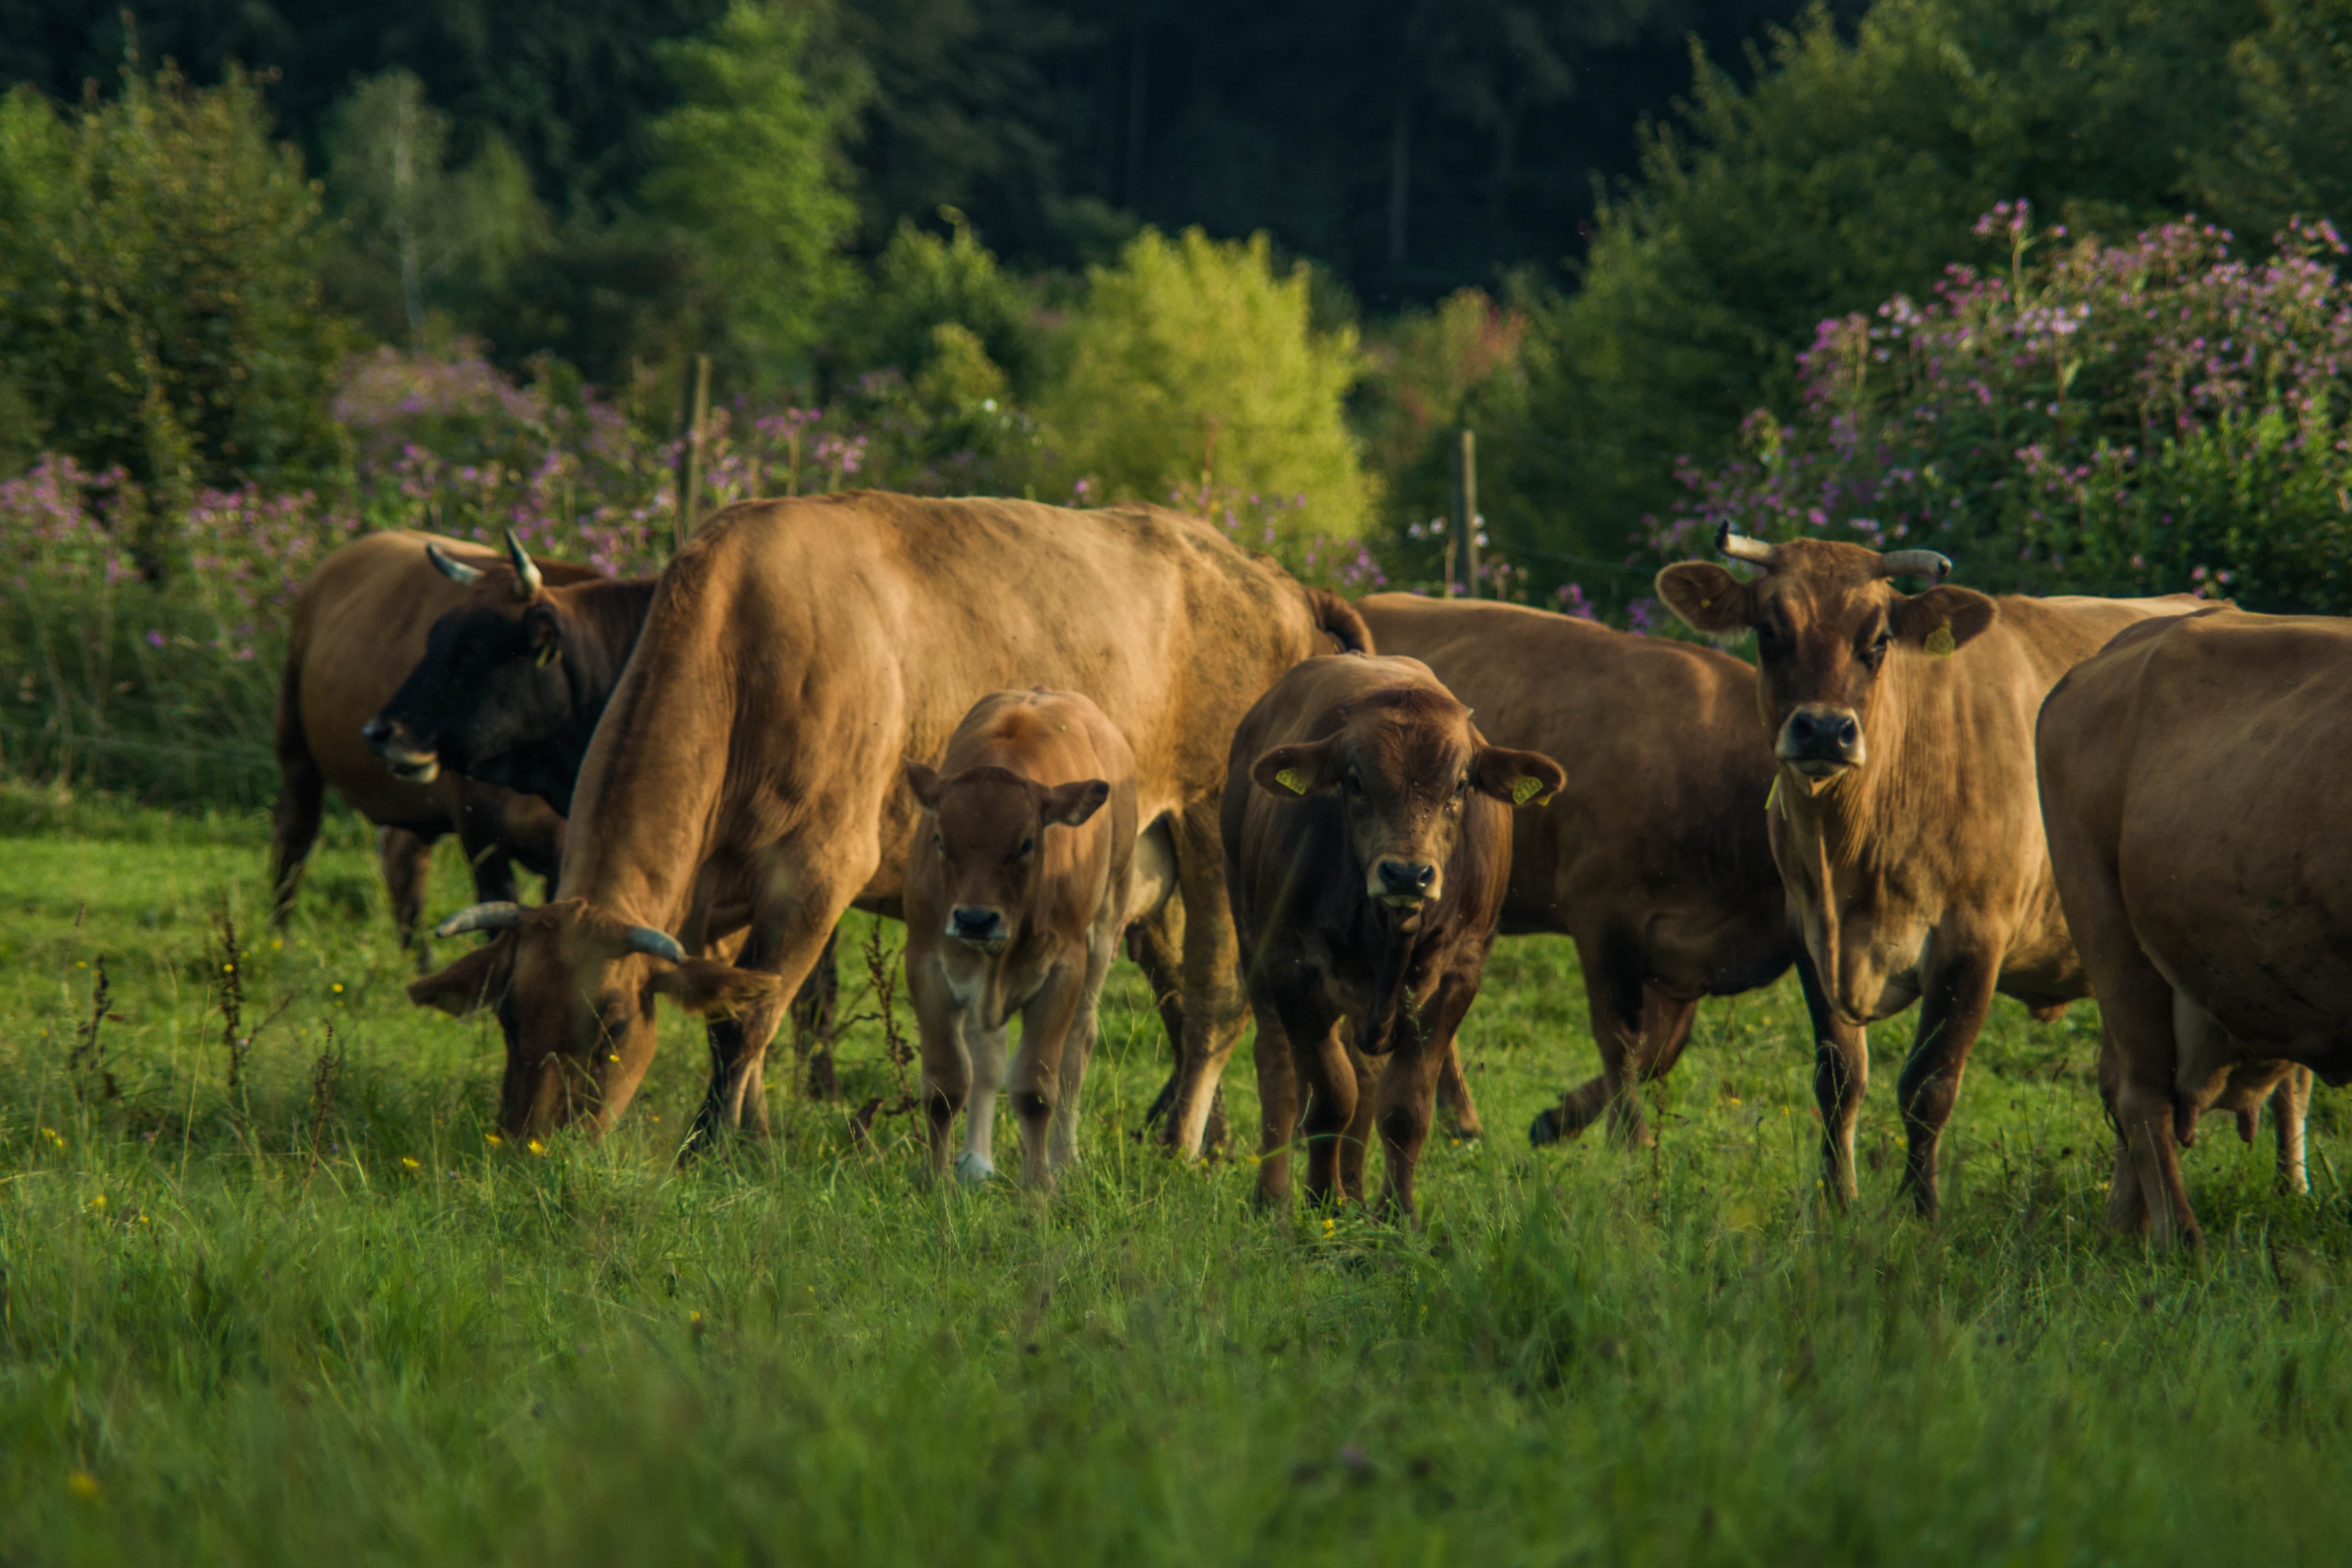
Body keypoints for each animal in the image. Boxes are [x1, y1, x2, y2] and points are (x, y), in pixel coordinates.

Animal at [270, 530, 595, 950]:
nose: (384, 729)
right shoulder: (479, 832)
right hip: (295, 742)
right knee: (294, 832)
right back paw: (280, 940)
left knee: (403, 861)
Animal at [904, 689, 1140, 1188]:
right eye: (940, 840)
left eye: (1026, 844)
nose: (975, 919)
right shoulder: (926, 965)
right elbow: (946, 1082)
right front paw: (937, 1180)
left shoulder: (1062, 973)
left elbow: (1036, 1089)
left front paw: (1037, 1188)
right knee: (987, 1056)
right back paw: (976, 1160)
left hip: (1104, 933)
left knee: (1077, 1048)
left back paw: (1063, 1160)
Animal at [1227, 652, 1564, 1219]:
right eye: (1356, 780)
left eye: (1460, 785)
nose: (1408, 875)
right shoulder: (1292, 970)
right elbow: (1330, 1098)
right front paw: (1320, 1201)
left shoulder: (1455, 980)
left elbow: (1403, 1108)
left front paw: (1396, 1214)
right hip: (1253, 943)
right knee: (1279, 1067)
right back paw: (1273, 1199)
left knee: (1365, 1076)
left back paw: (1356, 1192)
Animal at [1358, 593, 1865, 1155]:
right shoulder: (1605, 916)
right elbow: (1620, 1036)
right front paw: (1630, 1140)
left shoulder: (1687, 956)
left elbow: (1660, 1048)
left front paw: (1559, 1119)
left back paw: (1461, 1119)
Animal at [1657, 527, 2204, 1215]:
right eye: (1770, 631)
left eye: (1878, 641)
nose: (1825, 731)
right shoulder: (1807, 933)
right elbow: (1838, 1079)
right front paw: (1838, 1204)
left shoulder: (1973, 941)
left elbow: (1929, 1085)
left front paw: (1921, 1212)